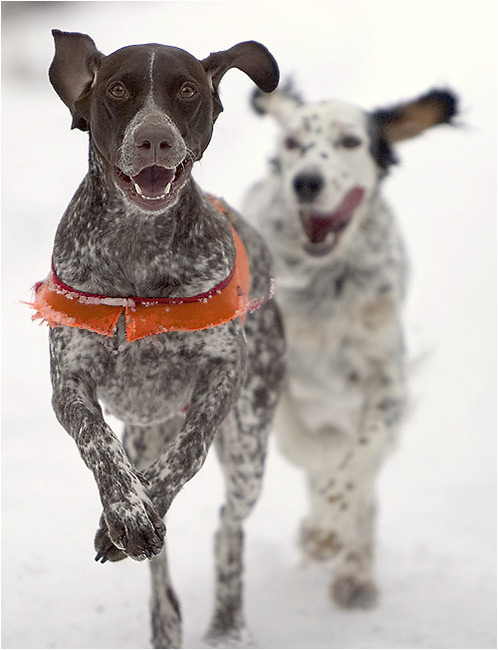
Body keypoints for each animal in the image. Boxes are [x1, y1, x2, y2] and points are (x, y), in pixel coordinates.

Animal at [33, 31, 284, 648]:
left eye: (188, 90)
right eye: (118, 90)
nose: (154, 138)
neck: (138, 254)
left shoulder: (224, 374)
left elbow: (187, 454)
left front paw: (131, 515)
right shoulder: (69, 381)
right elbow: (99, 445)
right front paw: (127, 513)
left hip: (248, 450)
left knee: (226, 528)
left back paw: (226, 620)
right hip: (147, 432)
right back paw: (162, 611)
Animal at [243, 81, 458, 608]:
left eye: (350, 142)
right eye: (292, 143)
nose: (306, 182)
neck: (326, 284)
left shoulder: (387, 380)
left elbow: (363, 454)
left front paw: (327, 532)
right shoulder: (266, 365)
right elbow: (305, 445)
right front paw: (321, 522)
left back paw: (354, 574)